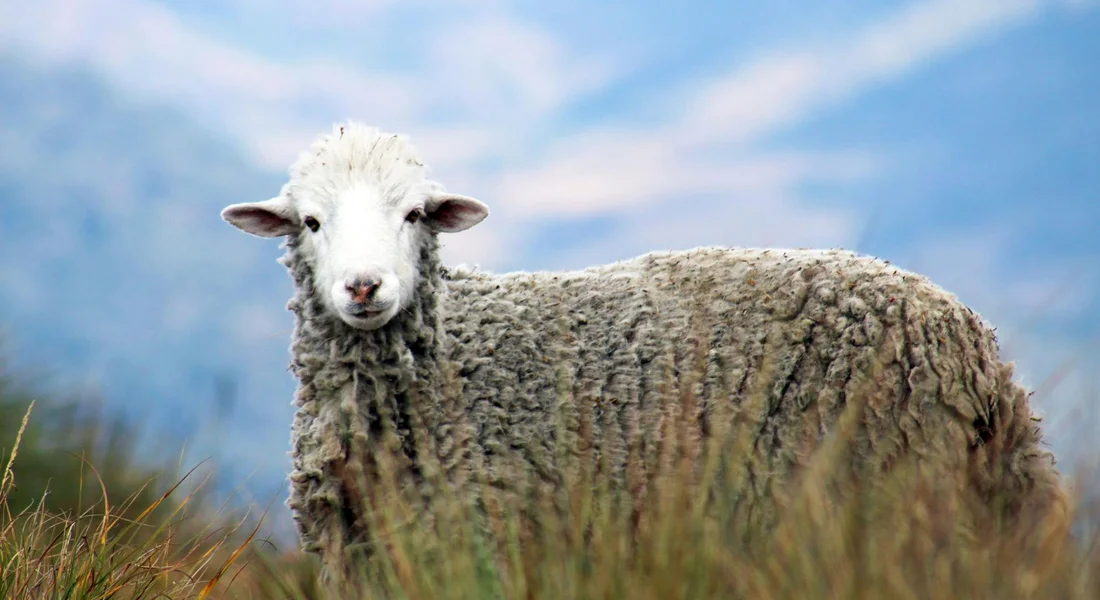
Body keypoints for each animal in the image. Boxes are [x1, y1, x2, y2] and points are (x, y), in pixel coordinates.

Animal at [219, 121, 1066, 585]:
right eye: (311, 222)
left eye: (414, 215)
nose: (364, 288)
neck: (445, 363)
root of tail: (979, 351)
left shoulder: (490, 540)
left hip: (884, 496)